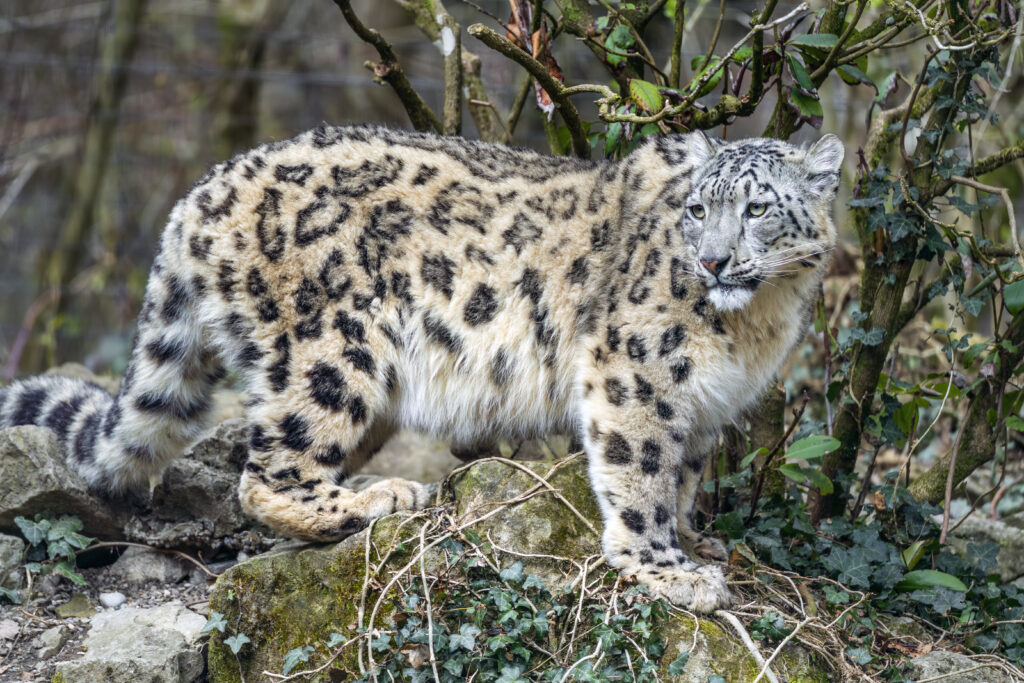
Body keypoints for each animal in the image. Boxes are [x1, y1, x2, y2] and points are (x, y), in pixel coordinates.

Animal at [0, 124, 843, 612]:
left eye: (758, 208)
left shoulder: (707, 405)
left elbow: (683, 475)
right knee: (267, 471)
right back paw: (378, 498)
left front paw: (696, 539)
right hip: (334, 350)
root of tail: (201, 193)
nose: (715, 260)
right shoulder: (635, 372)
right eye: (699, 210)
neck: (755, 322)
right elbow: (639, 473)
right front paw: (665, 567)